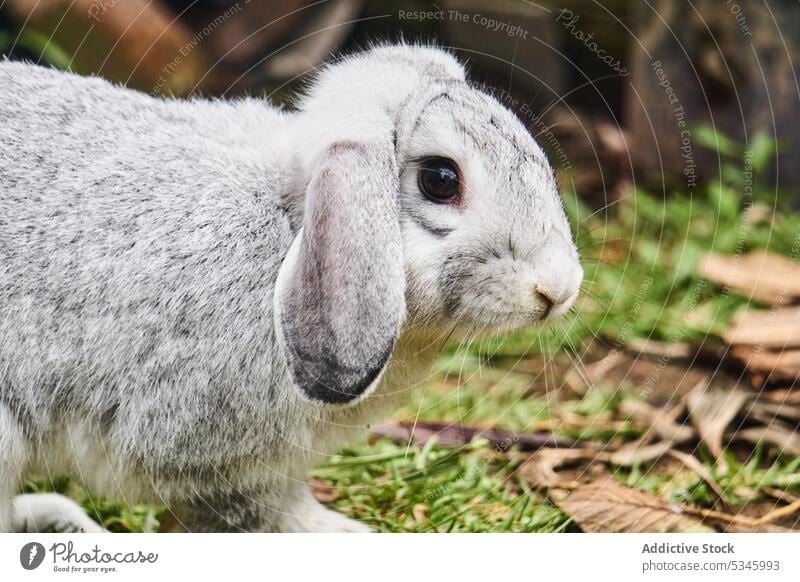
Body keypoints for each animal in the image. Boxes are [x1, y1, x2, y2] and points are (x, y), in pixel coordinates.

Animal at [0, 43, 580, 532]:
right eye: (440, 179)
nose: (558, 289)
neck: (292, 230)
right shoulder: (207, 452)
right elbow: (264, 513)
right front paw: (341, 535)